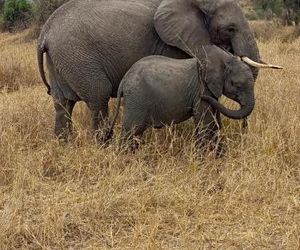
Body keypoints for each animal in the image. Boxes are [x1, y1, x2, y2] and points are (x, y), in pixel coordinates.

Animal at [106, 45, 254, 150]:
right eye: (237, 85)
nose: (245, 127)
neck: (225, 59)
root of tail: (124, 79)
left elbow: (215, 120)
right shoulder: (201, 87)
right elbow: (205, 122)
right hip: (137, 99)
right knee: (132, 130)